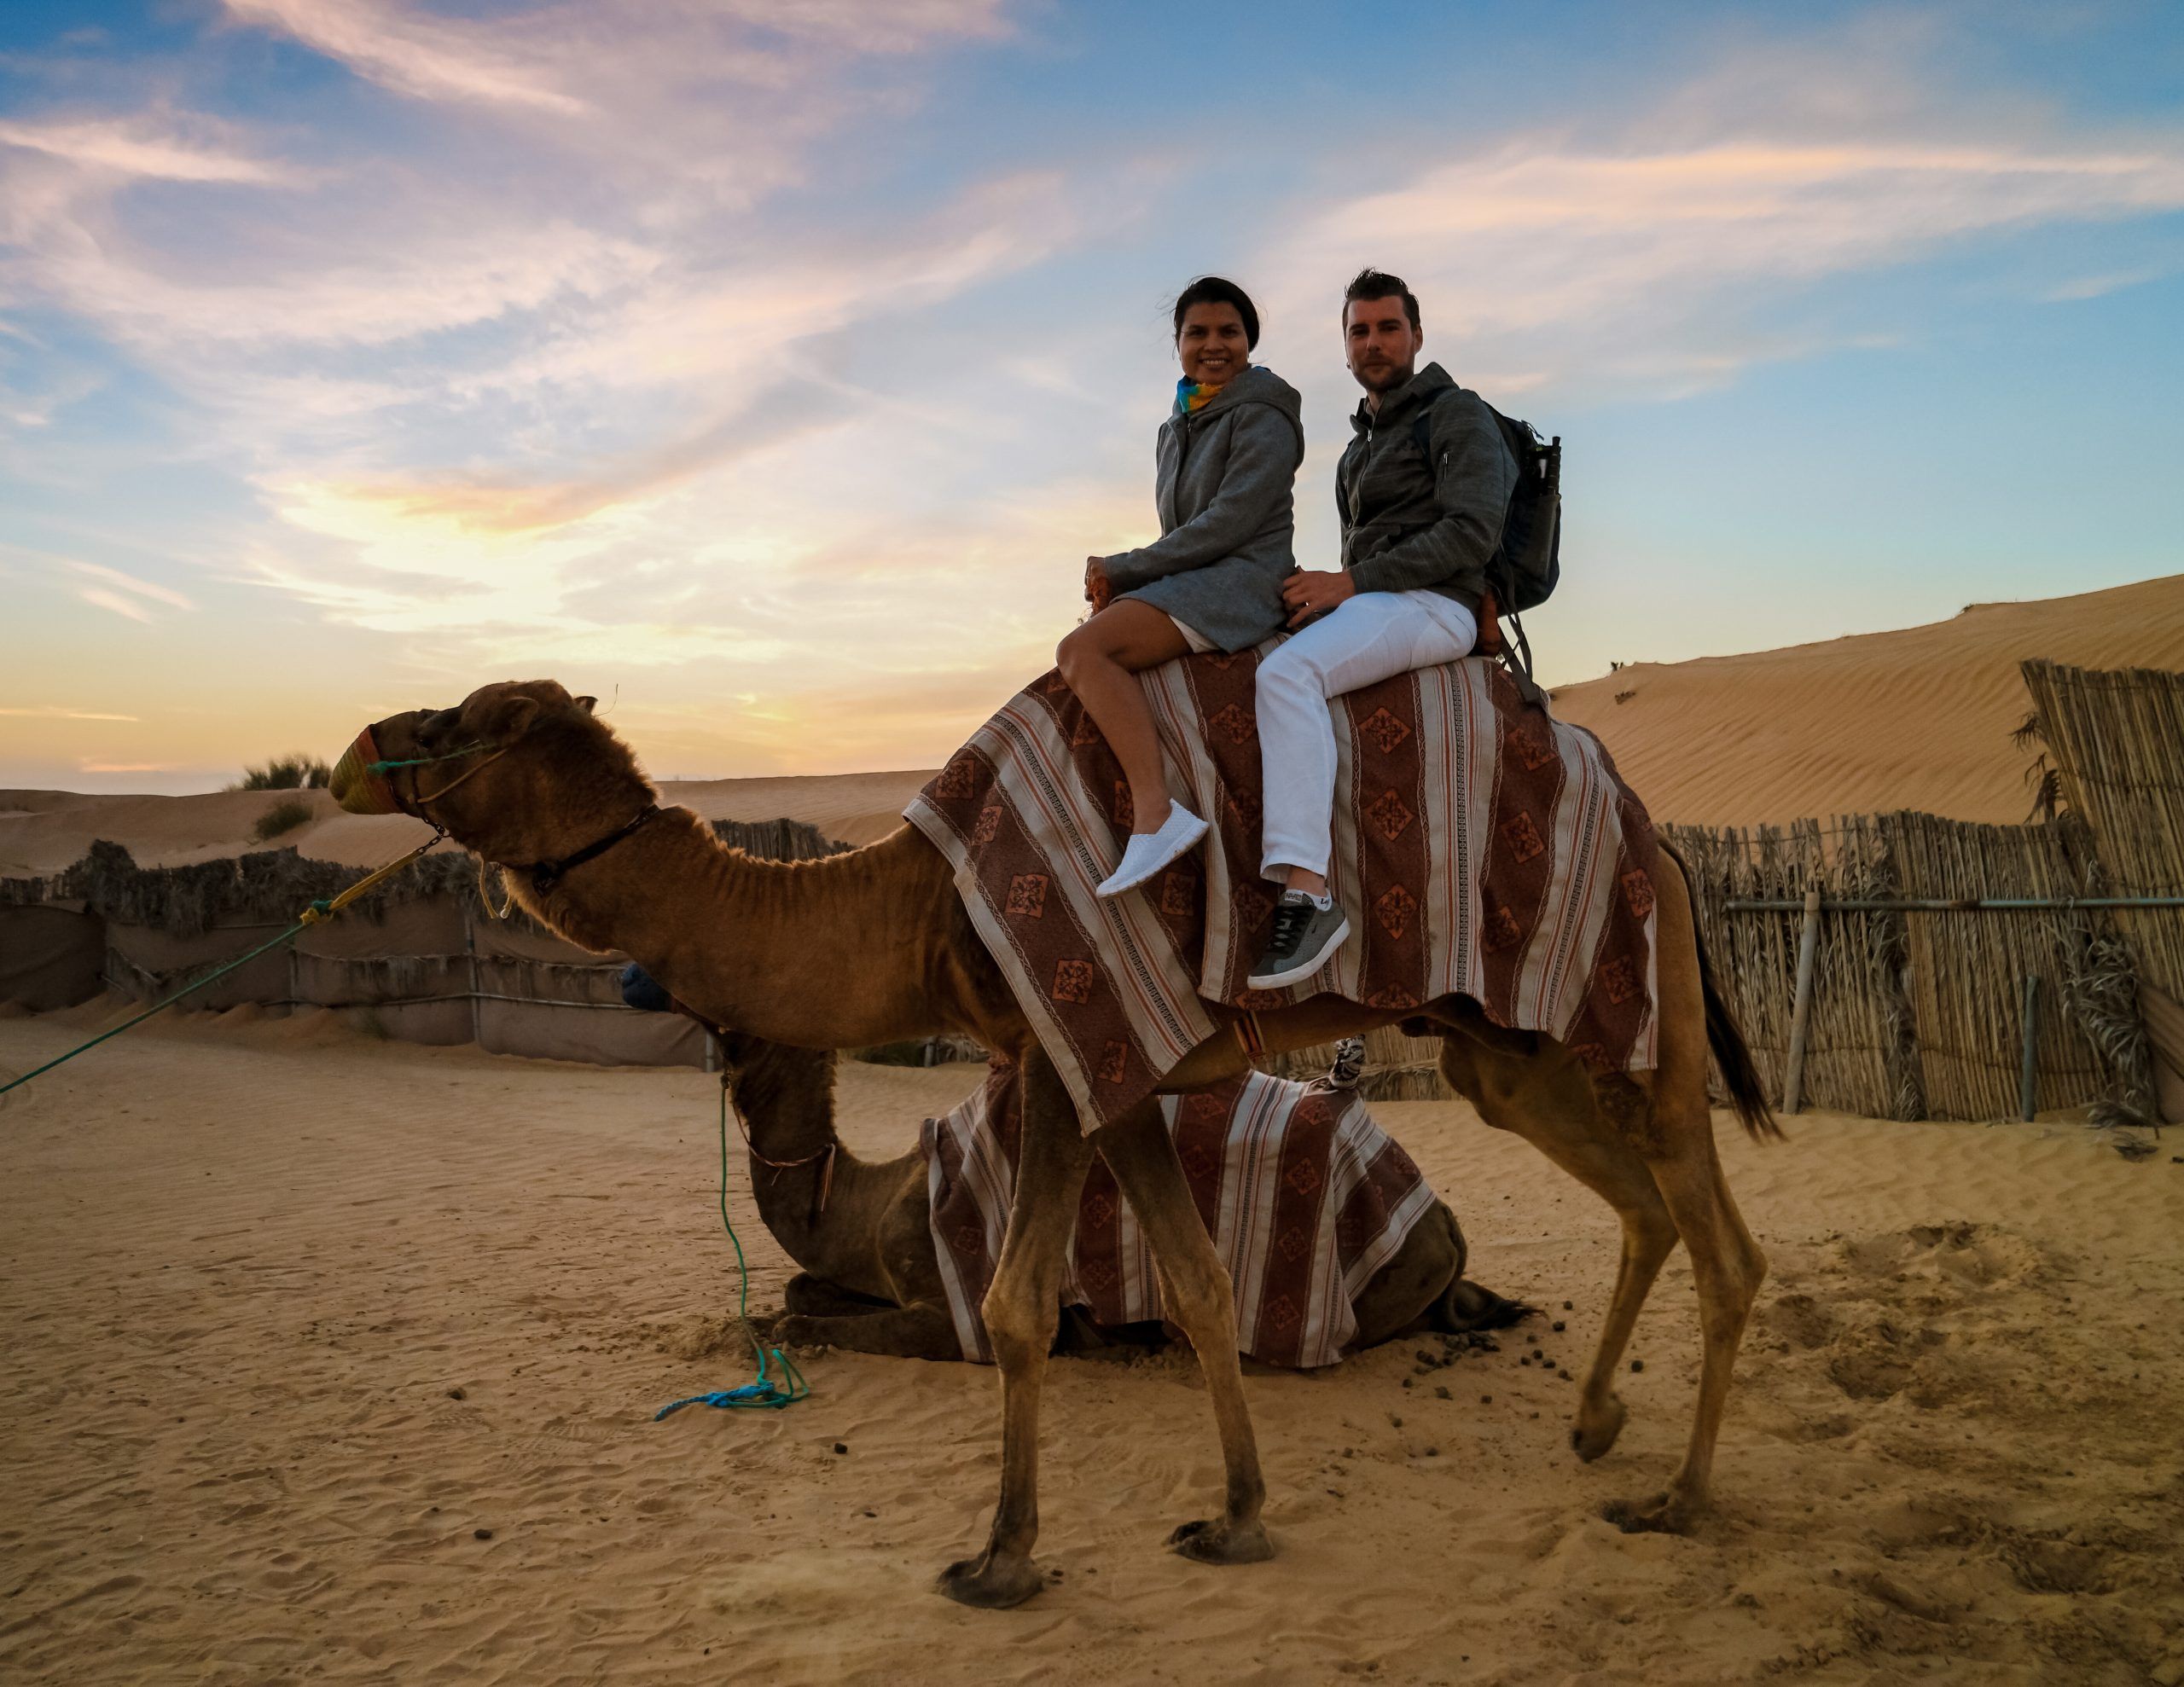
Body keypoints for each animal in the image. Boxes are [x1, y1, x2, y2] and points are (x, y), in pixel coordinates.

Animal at [706, 1029, 1528, 1361]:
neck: (872, 1202)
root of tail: (1443, 1220)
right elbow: (802, 1290)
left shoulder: (948, 1309)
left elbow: (799, 1322)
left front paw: (758, 1334)